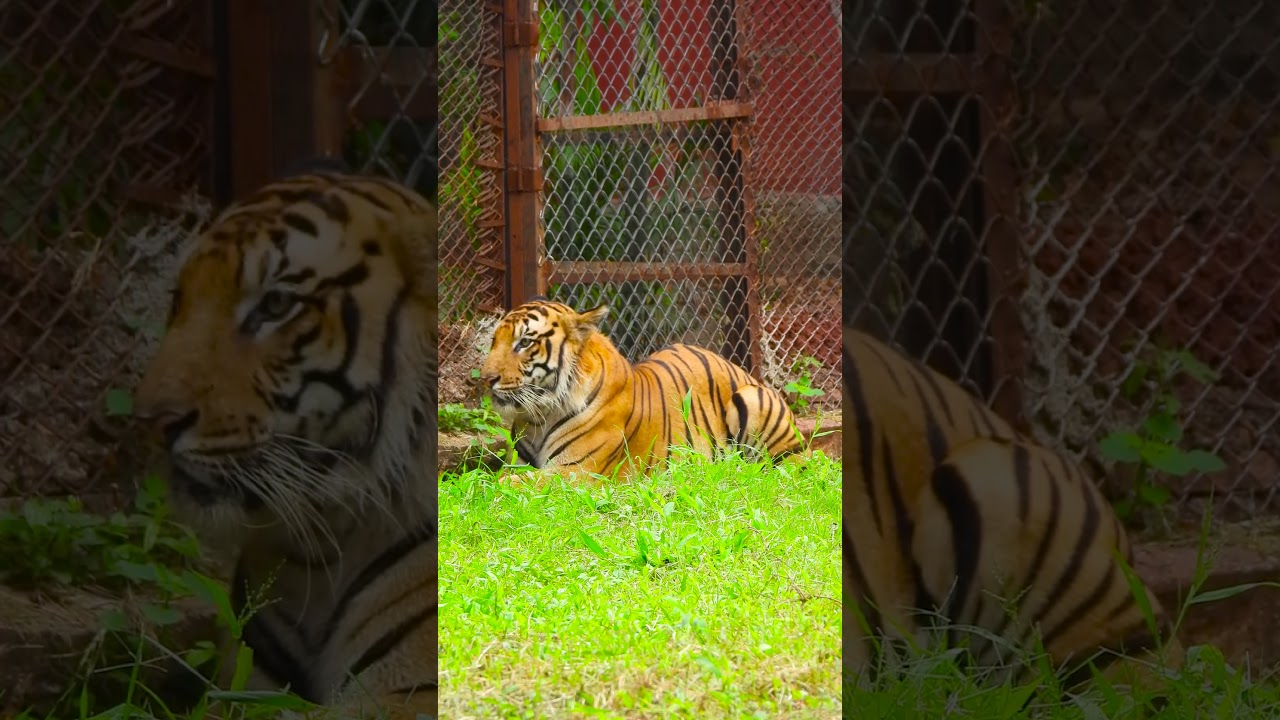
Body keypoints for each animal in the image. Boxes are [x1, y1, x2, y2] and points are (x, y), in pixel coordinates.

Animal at [132, 169, 439, 719]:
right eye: (179, 300)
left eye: (275, 305)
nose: (153, 423)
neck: (317, 554)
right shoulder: (246, 679)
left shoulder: (407, 693)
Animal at [477, 299, 801, 480]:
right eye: (494, 341)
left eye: (524, 342)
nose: (486, 378)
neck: (540, 416)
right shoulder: (520, 463)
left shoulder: (576, 471)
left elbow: (505, 485)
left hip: (754, 404)